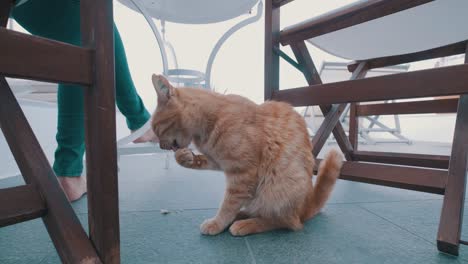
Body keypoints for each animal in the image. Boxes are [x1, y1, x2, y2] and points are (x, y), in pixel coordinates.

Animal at [151, 75, 344, 237]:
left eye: (156, 129)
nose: (160, 146)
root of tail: (306, 206)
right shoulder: (218, 161)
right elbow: (199, 162)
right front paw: (185, 157)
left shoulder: (242, 173)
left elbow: (228, 204)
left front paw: (217, 223)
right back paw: (242, 214)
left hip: (277, 187)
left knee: (285, 222)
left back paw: (245, 224)